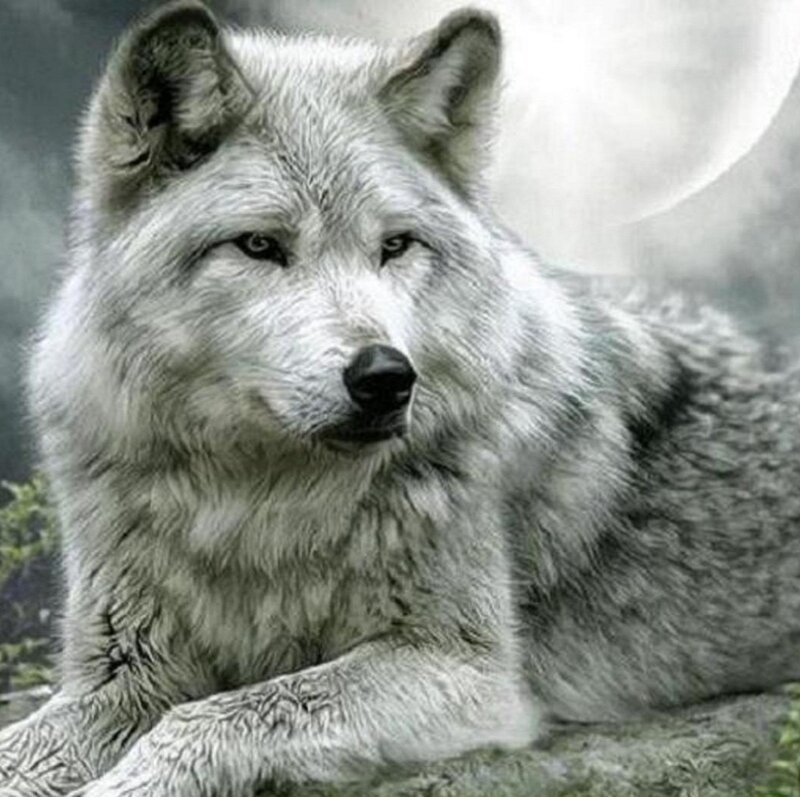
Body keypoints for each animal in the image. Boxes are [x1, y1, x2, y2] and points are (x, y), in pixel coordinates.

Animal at [1, 1, 799, 795]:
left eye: (395, 246)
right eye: (259, 246)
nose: (386, 376)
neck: (256, 505)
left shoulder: (466, 673)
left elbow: (224, 713)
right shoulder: (122, 677)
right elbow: (28, 747)